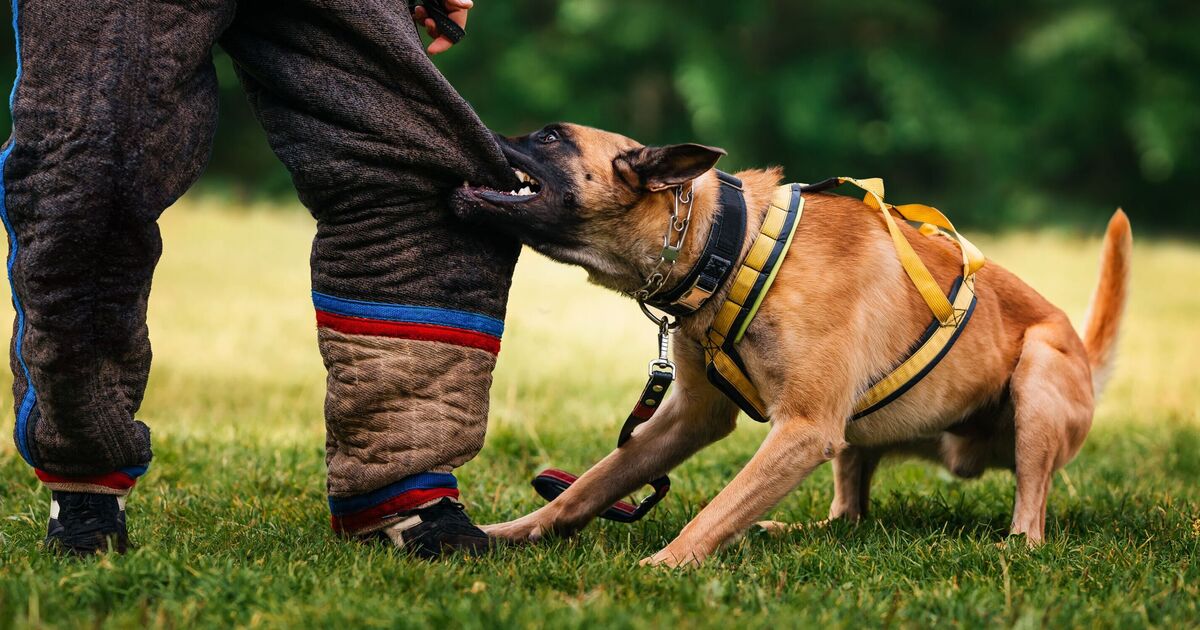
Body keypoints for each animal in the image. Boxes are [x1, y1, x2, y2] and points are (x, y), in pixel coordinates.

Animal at [451, 121, 1132, 564]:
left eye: (548, 137)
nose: (476, 128)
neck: (730, 243)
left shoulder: (803, 428)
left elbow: (717, 507)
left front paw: (666, 565)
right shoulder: (691, 417)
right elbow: (591, 486)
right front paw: (513, 531)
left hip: (1037, 375)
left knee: (1031, 516)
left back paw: (1014, 545)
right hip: (852, 439)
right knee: (844, 517)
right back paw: (791, 531)